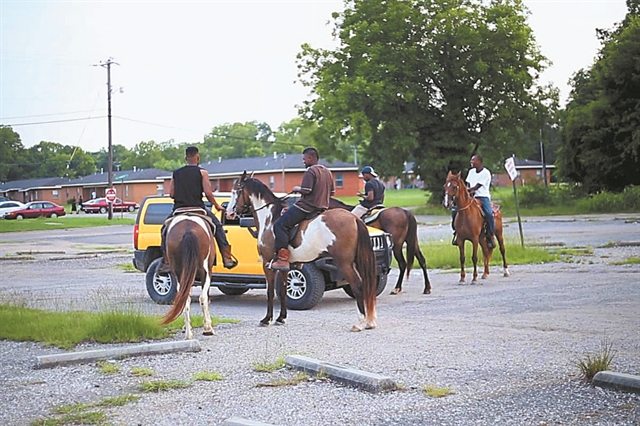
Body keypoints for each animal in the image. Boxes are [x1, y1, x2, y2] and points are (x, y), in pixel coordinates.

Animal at [225, 171, 378, 332]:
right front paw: (281, 318)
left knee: (357, 285)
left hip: (345, 263)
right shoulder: (284, 266)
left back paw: (360, 322)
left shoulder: (267, 263)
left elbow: (270, 291)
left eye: (236, 190)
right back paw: (369, 321)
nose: (229, 212)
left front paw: (267, 319)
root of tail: (354, 218)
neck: (269, 219)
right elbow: (283, 290)